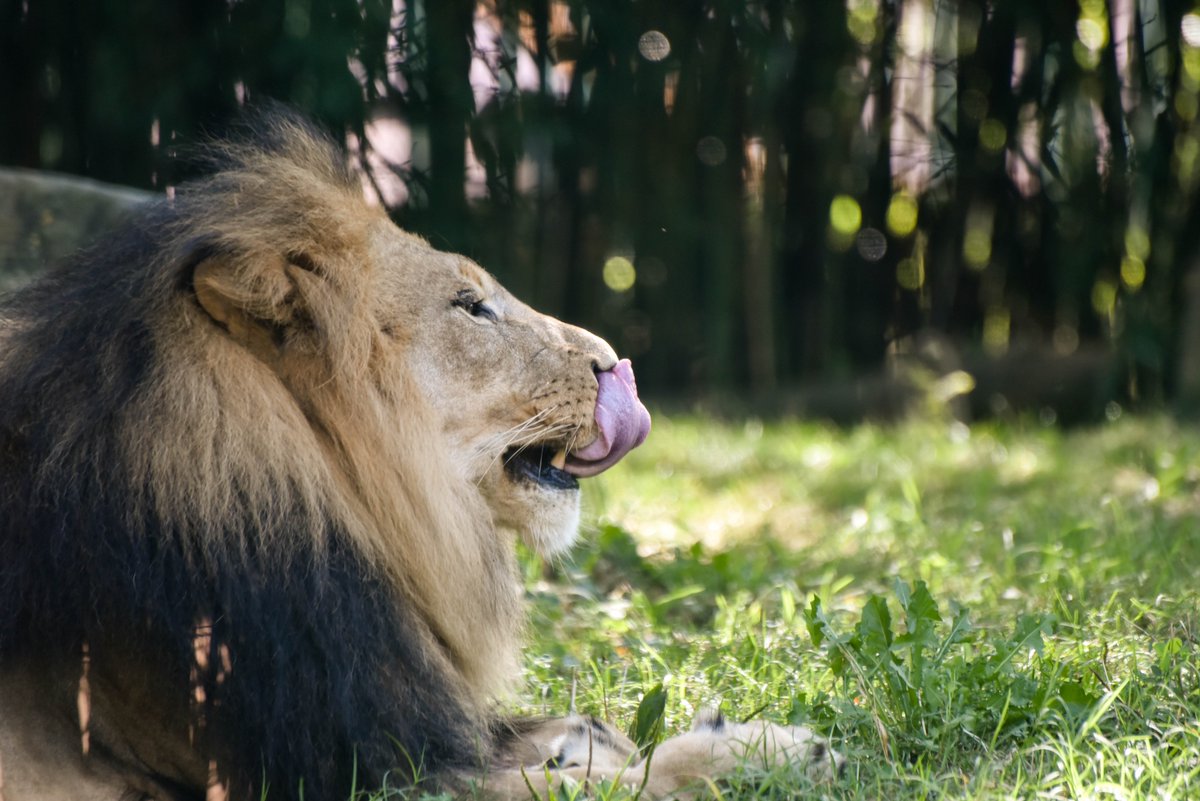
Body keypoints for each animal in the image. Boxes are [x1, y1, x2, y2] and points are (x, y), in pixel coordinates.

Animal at [0, 110, 841, 801]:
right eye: (472, 306)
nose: (612, 363)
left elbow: (554, 731)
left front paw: (606, 735)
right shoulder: (352, 775)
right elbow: (606, 784)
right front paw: (767, 748)